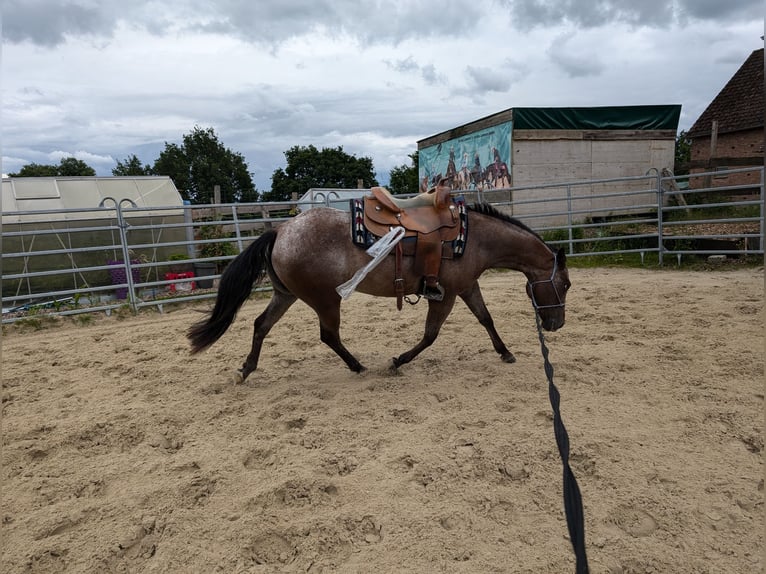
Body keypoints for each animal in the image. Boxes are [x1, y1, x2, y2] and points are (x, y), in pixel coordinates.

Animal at [186, 202, 568, 382]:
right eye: (564, 284)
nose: (557, 324)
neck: (473, 238)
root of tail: (280, 230)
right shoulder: (444, 294)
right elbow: (430, 335)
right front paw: (398, 361)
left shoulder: (466, 287)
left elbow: (486, 319)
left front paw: (505, 353)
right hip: (326, 299)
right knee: (328, 335)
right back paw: (357, 366)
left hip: (286, 295)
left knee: (261, 325)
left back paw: (247, 369)